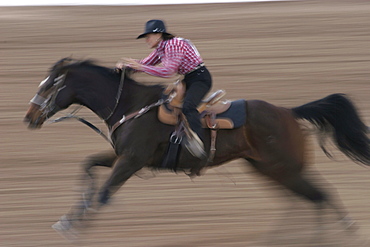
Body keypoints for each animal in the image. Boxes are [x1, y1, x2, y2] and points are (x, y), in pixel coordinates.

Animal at [23, 57, 370, 237]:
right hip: (269, 168)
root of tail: (288, 112)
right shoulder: (122, 157)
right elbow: (88, 167)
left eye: (49, 86)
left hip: (283, 167)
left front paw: (76, 227)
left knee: (318, 196)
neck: (130, 105)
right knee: (304, 199)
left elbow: (104, 194)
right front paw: (67, 220)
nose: (29, 117)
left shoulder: (131, 160)